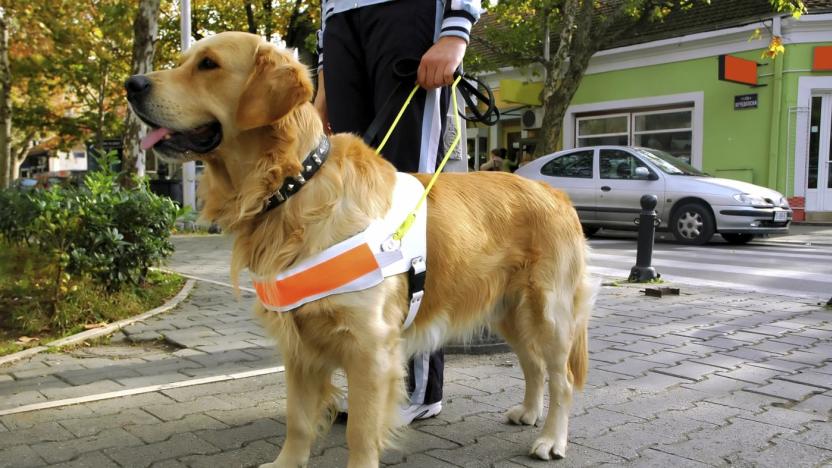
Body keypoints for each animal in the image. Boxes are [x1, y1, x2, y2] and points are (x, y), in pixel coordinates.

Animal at [127, 31, 596, 466]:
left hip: (550, 312)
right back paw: (529, 413)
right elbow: (298, 420)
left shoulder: (370, 347)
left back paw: (551, 439)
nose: (132, 83)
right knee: (533, 364)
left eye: (208, 64)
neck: (294, 187)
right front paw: (286, 461)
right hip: (507, 311)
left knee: (561, 378)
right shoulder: (298, 344)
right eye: (184, 60)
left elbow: (360, 431)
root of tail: (553, 190)